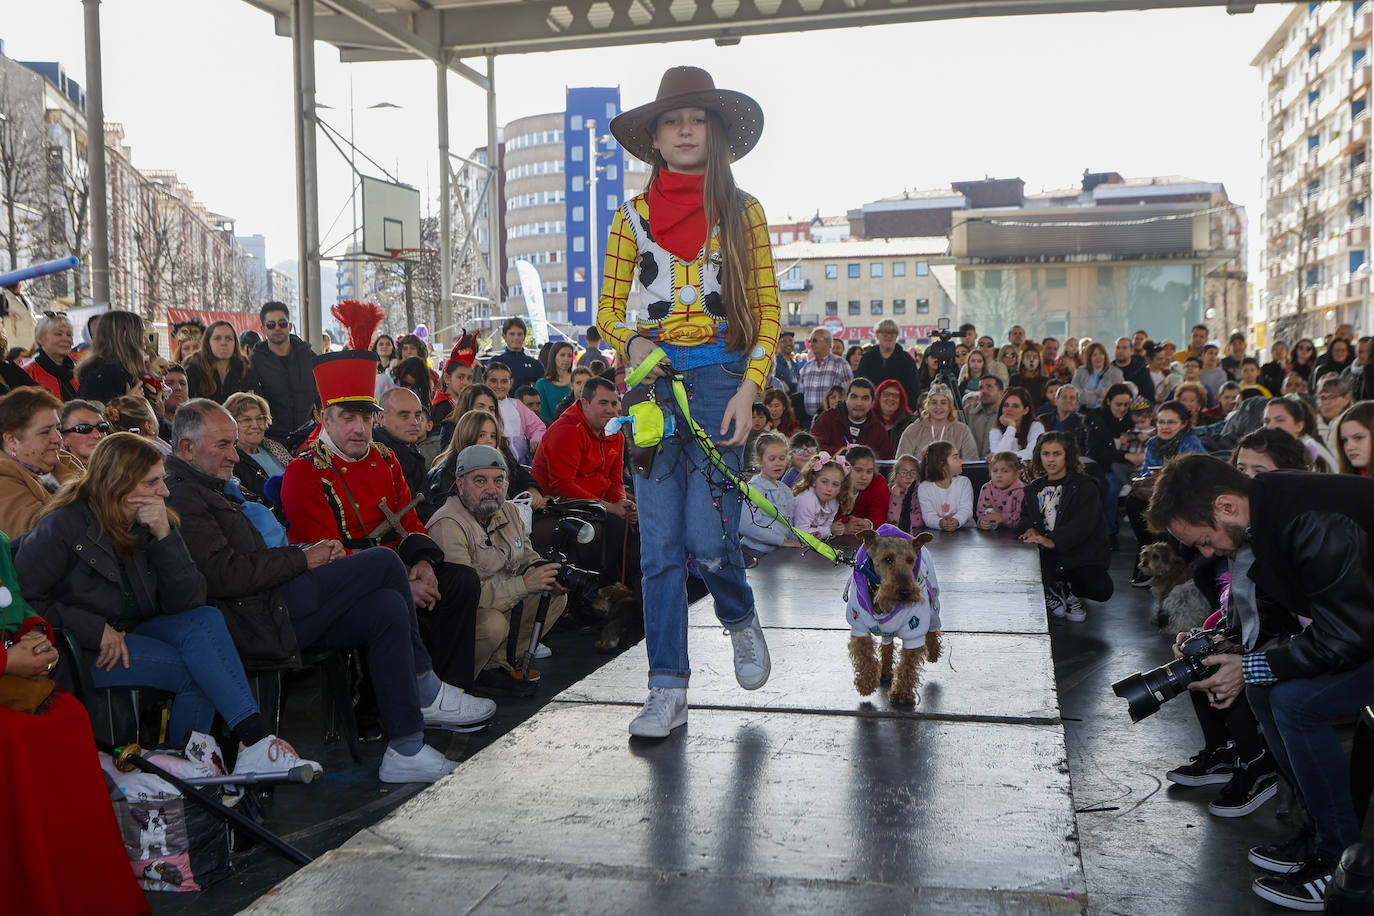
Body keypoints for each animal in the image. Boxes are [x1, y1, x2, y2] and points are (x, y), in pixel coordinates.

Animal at [846, 527, 945, 708]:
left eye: (911, 560)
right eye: (887, 559)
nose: (906, 592)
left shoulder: (914, 629)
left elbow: (907, 665)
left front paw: (901, 693)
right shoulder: (859, 625)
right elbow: (864, 655)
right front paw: (865, 684)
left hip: (933, 605)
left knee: (933, 629)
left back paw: (933, 653)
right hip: (887, 630)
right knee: (887, 644)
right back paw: (885, 670)